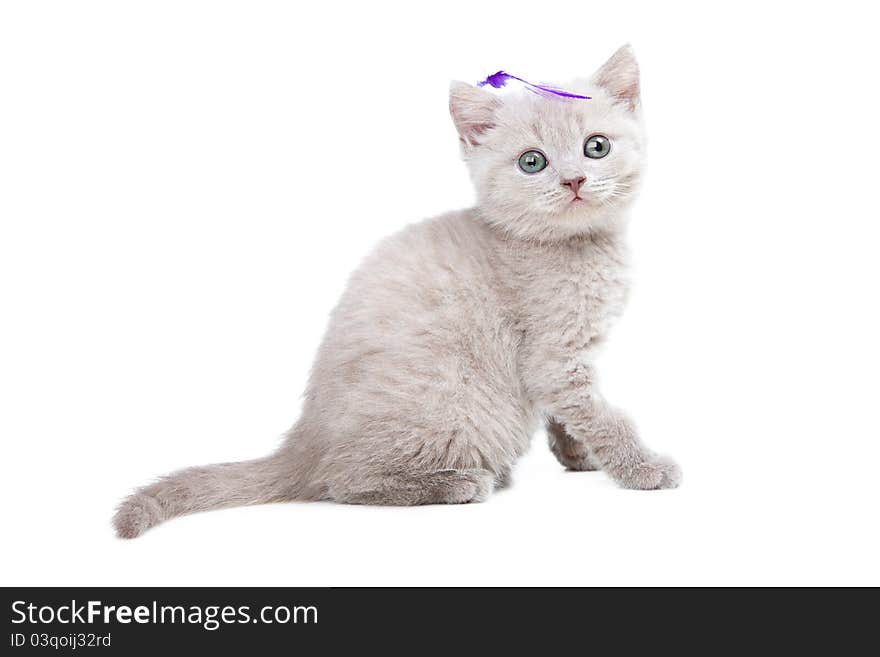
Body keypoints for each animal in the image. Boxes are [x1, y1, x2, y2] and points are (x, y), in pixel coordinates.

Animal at [113, 44, 680, 540]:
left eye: (596, 147)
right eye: (532, 162)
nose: (574, 180)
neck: (575, 247)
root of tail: (303, 443)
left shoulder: (565, 362)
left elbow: (568, 414)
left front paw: (578, 457)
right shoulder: (552, 355)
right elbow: (602, 416)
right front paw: (644, 468)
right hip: (457, 408)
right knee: (345, 483)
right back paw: (460, 483)